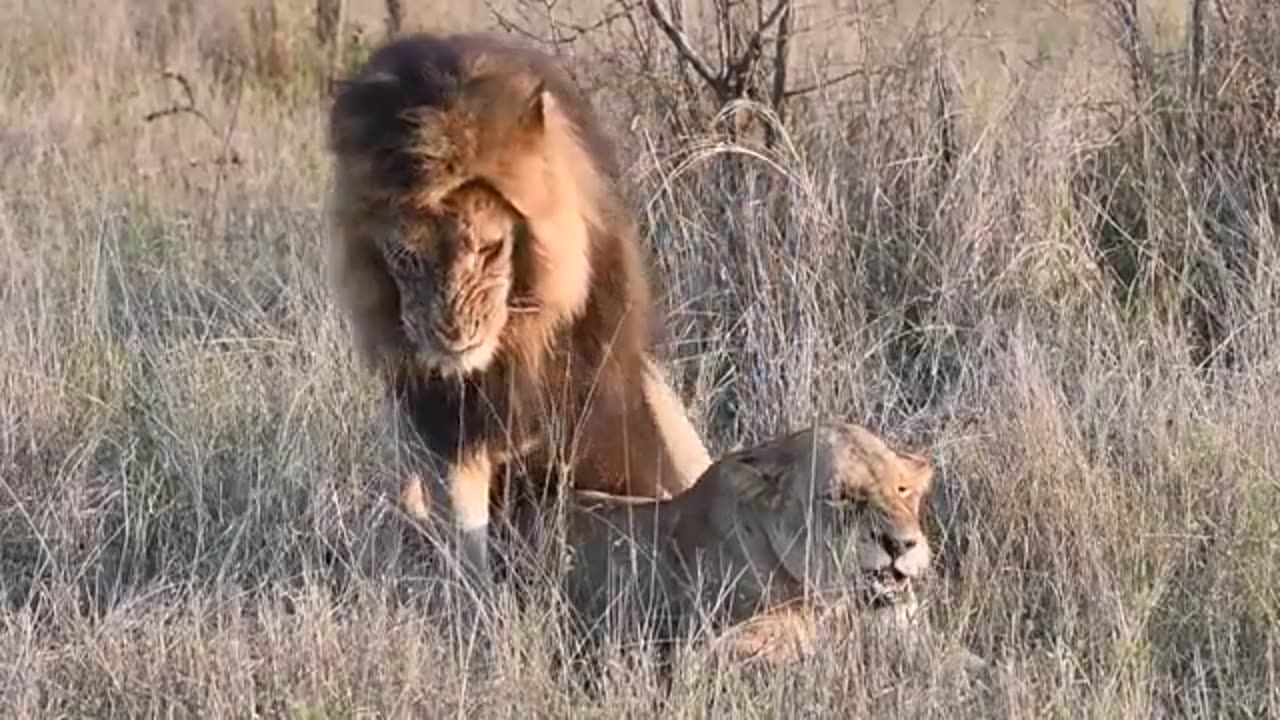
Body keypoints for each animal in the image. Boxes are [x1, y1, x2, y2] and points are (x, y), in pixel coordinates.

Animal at [326, 32, 712, 584]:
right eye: (404, 257)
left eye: (489, 248)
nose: (452, 335)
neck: (510, 353)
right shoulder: (441, 421)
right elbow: (460, 518)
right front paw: (471, 587)